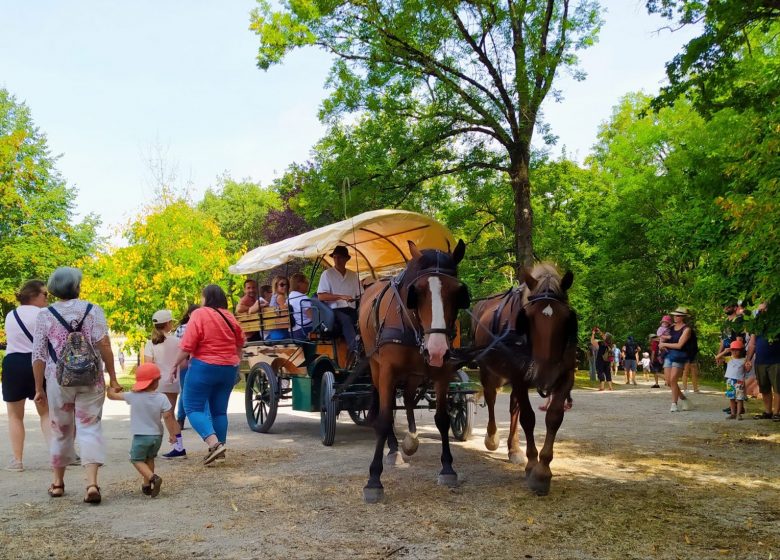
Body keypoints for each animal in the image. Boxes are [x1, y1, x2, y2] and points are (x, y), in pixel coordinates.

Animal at [358, 240, 470, 504]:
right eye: (416, 292)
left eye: (457, 292)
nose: (437, 349)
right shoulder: (388, 371)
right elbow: (384, 418)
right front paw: (374, 480)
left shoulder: (443, 371)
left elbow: (442, 418)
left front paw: (447, 467)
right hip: (376, 367)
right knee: (387, 405)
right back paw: (394, 448)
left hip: (414, 373)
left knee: (408, 399)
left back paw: (411, 438)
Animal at [472, 262, 576, 494]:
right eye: (528, 318)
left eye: (566, 318)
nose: (544, 371)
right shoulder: (519, 376)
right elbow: (528, 418)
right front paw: (532, 466)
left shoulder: (565, 377)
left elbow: (554, 417)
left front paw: (543, 470)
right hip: (488, 370)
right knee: (491, 398)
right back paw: (492, 437)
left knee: (513, 408)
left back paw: (514, 448)